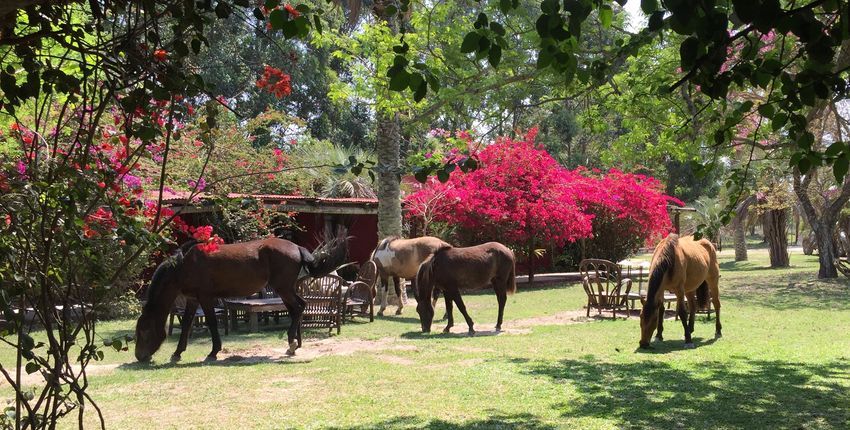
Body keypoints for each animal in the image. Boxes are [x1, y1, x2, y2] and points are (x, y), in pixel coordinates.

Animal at [134, 237, 346, 362]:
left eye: (144, 331)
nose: (139, 356)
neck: (184, 265)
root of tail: (297, 248)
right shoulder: (193, 300)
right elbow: (186, 325)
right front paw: (177, 353)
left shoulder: (205, 298)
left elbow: (211, 323)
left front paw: (213, 352)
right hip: (286, 290)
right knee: (298, 308)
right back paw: (294, 344)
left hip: (283, 289)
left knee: (299, 307)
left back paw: (292, 342)